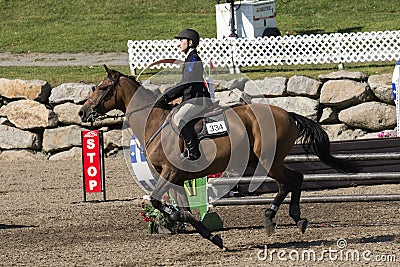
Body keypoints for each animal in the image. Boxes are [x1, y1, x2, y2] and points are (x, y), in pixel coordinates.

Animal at [79, 66, 362, 250]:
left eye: (102, 88)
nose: (82, 112)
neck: (154, 123)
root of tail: (287, 113)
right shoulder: (176, 179)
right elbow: (184, 212)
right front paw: (212, 237)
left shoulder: (170, 173)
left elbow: (158, 202)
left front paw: (175, 220)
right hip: (264, 161)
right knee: (295, 179)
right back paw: (295, 217)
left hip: (267, 161)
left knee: (289, 181)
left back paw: (272, 217)